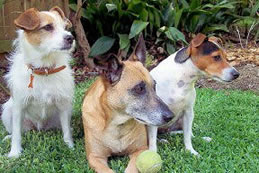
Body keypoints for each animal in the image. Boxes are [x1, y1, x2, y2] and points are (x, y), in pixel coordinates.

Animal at [1, 7, 75, 158]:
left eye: (65, 27)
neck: (44, 69)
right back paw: (8, 137)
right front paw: (14, 153)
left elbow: (66, 131)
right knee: (17, 131)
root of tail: (39, 128)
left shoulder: (63, 105)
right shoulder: (19, 107)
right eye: (48, 27)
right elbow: (17, 134)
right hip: (7, 111)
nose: (70, 38)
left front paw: (69, 146)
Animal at [82, 34, 174, 172]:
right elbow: (106, 170)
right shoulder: (95, 157)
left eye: (154, 86)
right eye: (139, 89)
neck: (117, 125)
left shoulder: (139, 150)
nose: (170, 116)